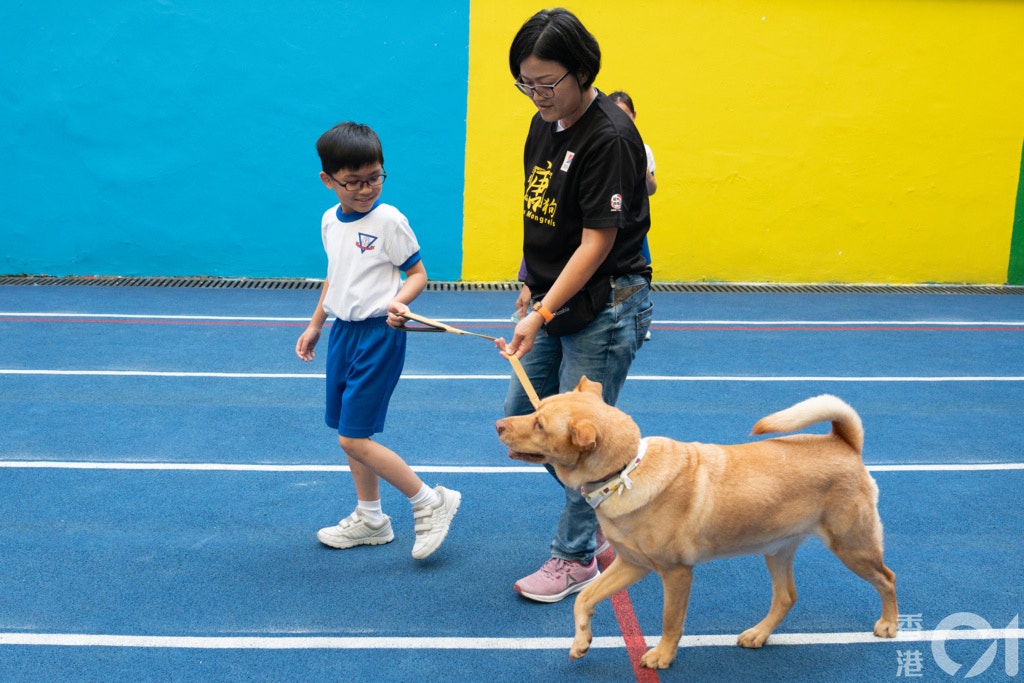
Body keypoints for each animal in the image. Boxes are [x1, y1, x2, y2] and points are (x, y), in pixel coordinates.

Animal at [493, 382, 897, 671]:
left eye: (540, 424)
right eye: (537, 408)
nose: (498, 425)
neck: (623, 472)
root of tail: (843, 443)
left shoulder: (676, 573)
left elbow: (671, 621)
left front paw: (662, 656)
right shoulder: (632, 565)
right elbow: (586, 599)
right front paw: (581, 642)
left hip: (852, 546)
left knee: (887, 579)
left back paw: (890, 624)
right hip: (777, 549)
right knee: (786, 596)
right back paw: (758, 634)